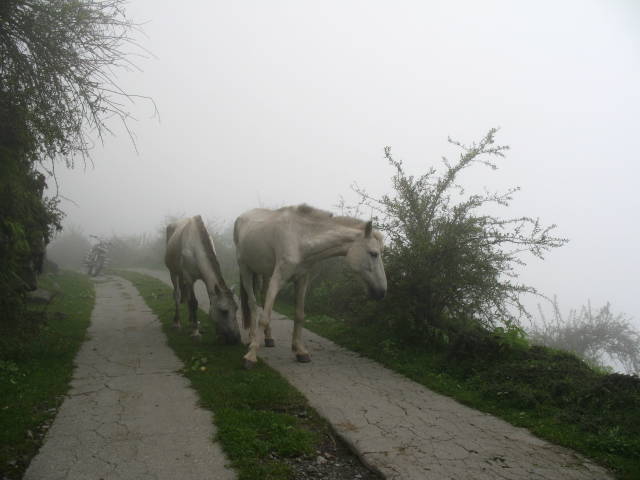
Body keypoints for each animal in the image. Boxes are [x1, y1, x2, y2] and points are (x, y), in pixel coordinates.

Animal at [164, 215, 241, 344]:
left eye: (236, 309)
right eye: (224, 311)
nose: (235, 339)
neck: (195, 248)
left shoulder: (203, 280)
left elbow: (207, 301)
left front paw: (216, 334)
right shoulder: (189, 278)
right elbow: (194, 302)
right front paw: (196, 333)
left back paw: (191, 321)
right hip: (173, 273)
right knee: (177, 295)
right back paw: (177, 323)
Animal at [234, 204, 387, 368]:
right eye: (374, 254)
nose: (382, 292)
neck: (300, 237)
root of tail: (242, 217)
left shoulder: (302, 279)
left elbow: (299, 315)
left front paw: (300, 351)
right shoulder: (278, 278)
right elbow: (264, 317)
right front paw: (251, 356)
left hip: (265, 273)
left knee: (262, 299)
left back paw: (268, 338)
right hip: (245, 269)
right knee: (253, 304)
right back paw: (252, 339)